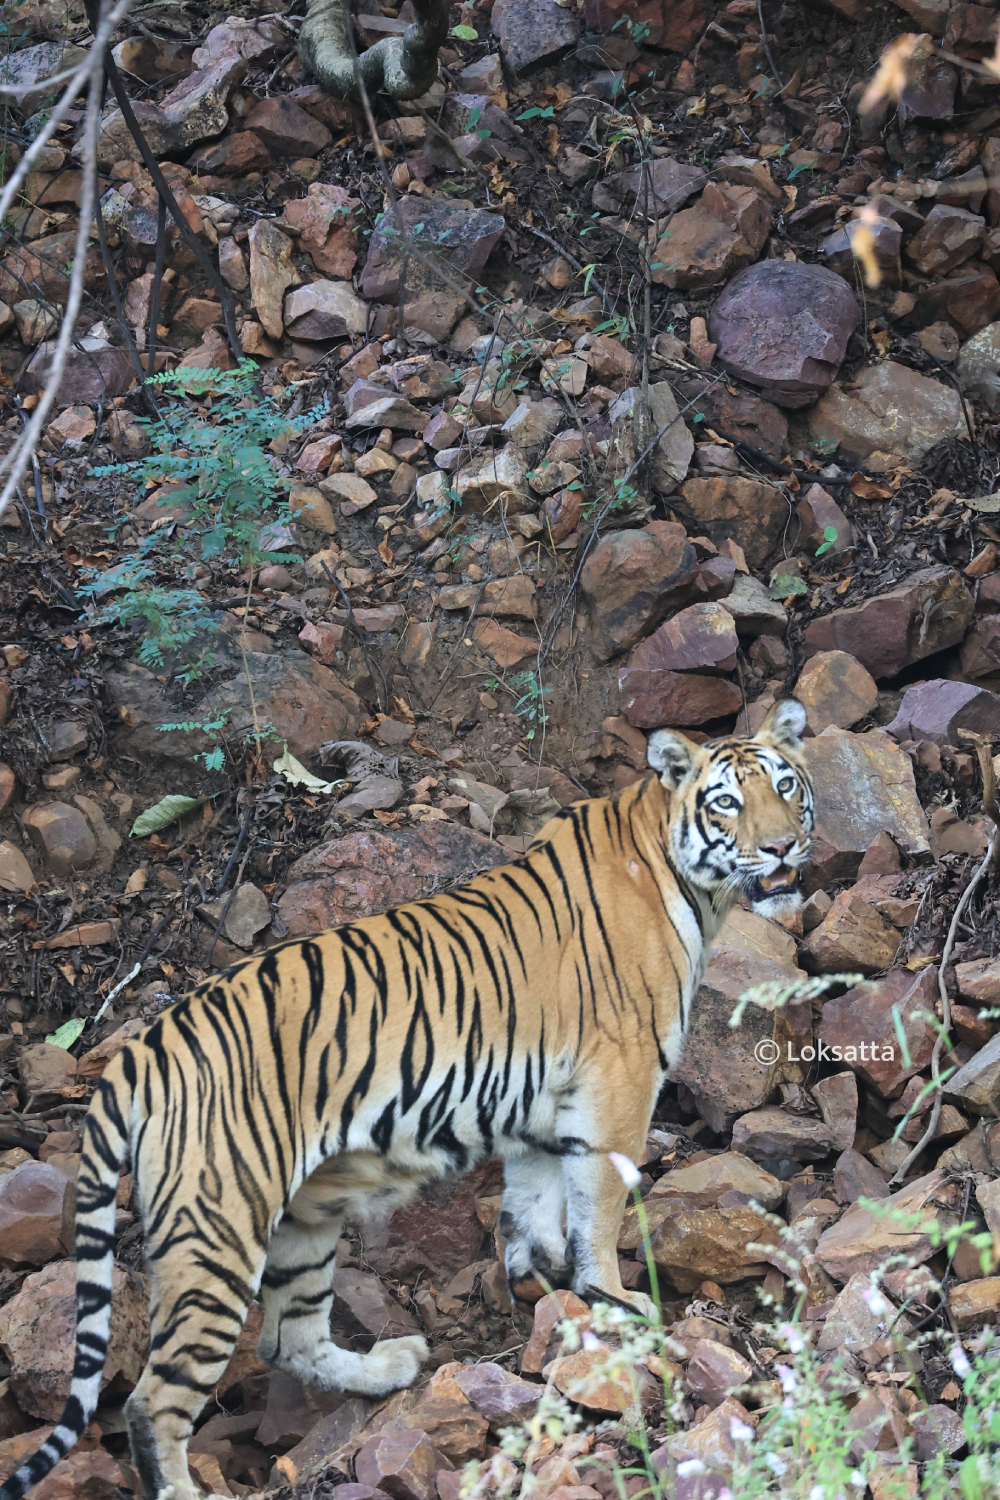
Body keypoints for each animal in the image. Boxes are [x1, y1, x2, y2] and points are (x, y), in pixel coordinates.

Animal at [0, 696, 815, 1500]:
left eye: (787, 787)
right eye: (726, 802)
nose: (782, 849)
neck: (688, 879)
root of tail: (141, 1050)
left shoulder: (545, 1103)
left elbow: (538, 1200)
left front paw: (541, 1280)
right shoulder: (620, 1082)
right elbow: (602, 1203)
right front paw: (615, 1297)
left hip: (301, 1219)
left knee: (287, 1339)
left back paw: (389, 1367)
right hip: (217, 1227)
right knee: (156, 1400)